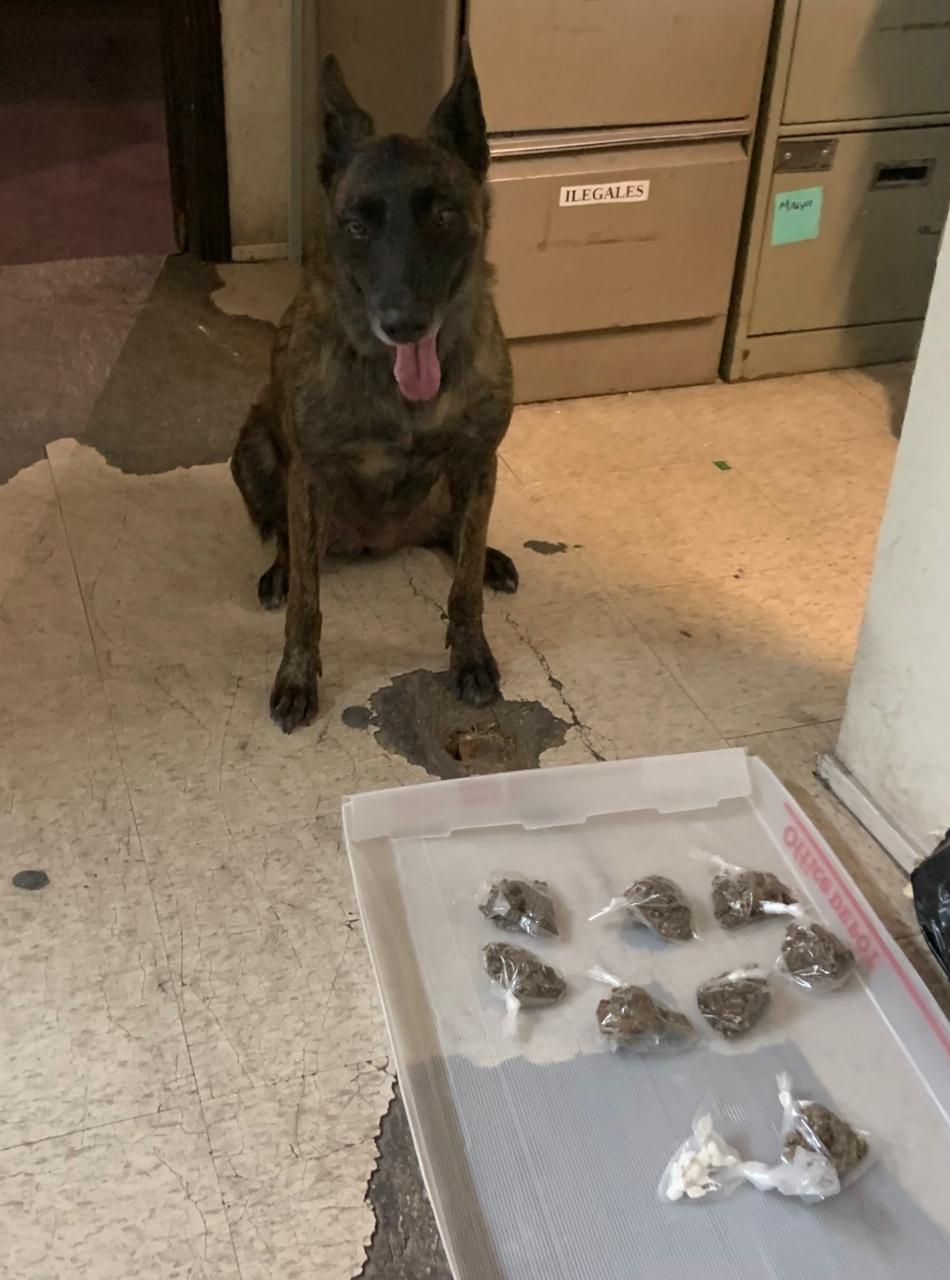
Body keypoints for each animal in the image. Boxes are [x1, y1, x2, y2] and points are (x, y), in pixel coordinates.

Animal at [231, 46, 518, 733]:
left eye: (443, 214)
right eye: (356, 225)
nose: (403, 321)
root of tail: (380, 543)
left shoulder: (478, 462)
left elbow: (463, 586)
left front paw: (470, 653)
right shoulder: (309, 475)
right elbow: (307, 604)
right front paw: (297, 675)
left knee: (457, 537)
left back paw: (488, 554)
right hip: (254, 448)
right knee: (288, 538)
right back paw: (280, 570)